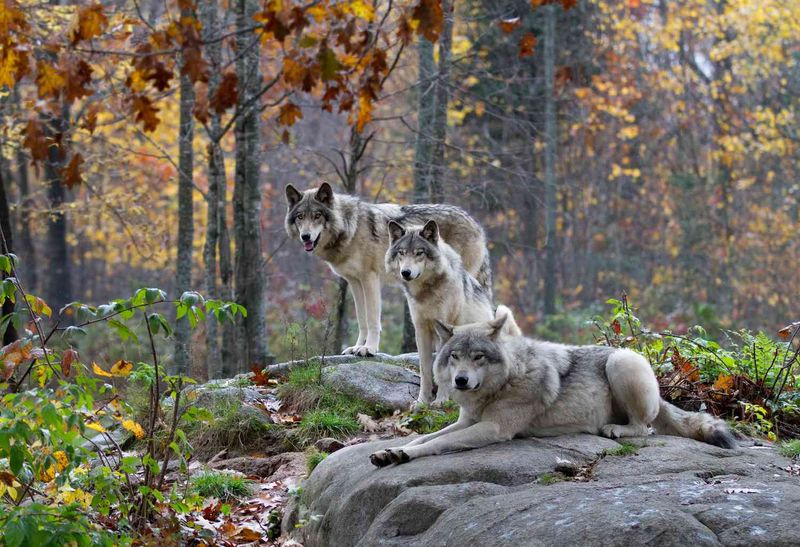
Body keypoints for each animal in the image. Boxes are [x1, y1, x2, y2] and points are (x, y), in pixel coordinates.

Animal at [284, 182, 490, 358]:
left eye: (317, 215)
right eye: (300, 217)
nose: (305, 236)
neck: (350, 228)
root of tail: (476, 223)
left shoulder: (370, 279)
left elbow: (372, 319)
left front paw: (369, 349)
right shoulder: (354, 282)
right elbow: (362, 319)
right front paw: (356, 347)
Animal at [372, 308, 736, 466]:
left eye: (478, 357)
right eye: (455, 357)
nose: (461, 381)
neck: (505, 381)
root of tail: (661, 396)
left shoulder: (493, 428)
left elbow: (437, 444)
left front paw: (404, 454)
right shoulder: (467, 421)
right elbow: (425, 437)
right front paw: (392, 450)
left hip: (620, 362)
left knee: (645, 428)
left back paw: (615, 430)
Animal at [386, 219, 520, 406]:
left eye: (419, 253)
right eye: (402, 253)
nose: (405, 273)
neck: (427, 292)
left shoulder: (445, 329)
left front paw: (441, 400)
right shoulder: (421, 330)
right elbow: (425, 370)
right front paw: (422, 402)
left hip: (502, 310)